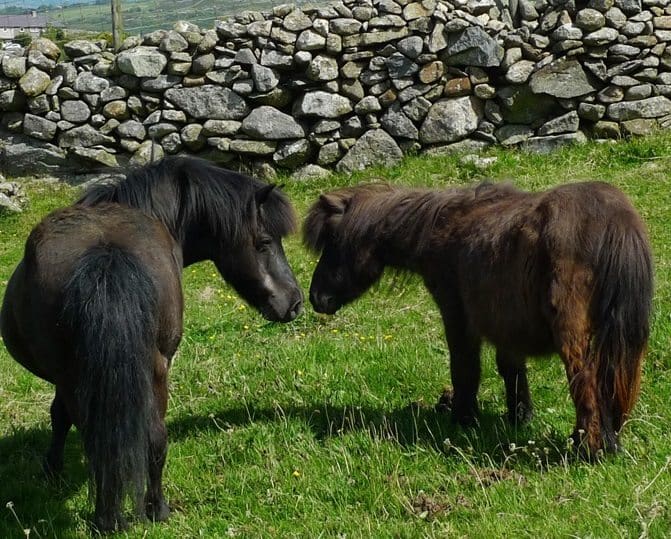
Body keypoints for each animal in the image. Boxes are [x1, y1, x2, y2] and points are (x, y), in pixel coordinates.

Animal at [1, 156, 303, 532]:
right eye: (264, 242)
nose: (295, 302)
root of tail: (107, 253)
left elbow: (60, 416)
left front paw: (51, 470)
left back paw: (126, 514)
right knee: (150, 439)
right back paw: (150, 510)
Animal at [303, 181, 653, 457]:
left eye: (333, 242)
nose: (316, 298)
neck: (442, 227)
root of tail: (614, 222)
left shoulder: (458, 317)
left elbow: (465, 369)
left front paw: (463, 419)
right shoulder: (506, 326)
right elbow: (511, 372)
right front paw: (518, 417)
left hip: (574, 335)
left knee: (587, 381)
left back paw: (588, 448)